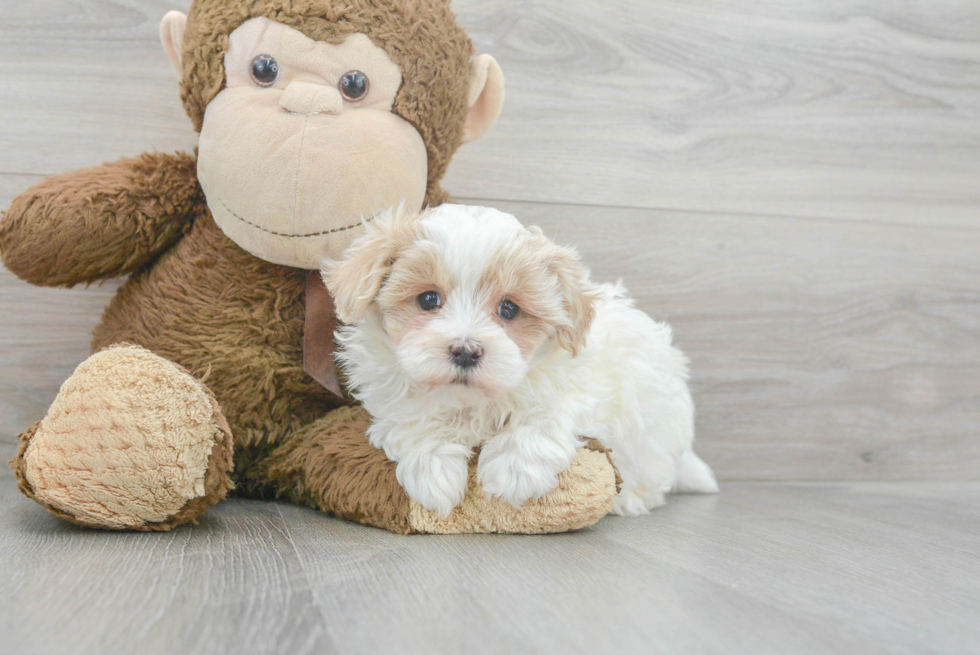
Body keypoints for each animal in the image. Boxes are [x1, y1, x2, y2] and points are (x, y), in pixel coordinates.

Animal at [326, 204, 716, 516]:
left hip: (652, 432)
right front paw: (432, 474)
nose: (466, 350)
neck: (472, 404)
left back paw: (629, 498)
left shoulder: (581, 385)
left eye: (509, 309)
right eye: (427, 299)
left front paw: (512, 471)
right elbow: (414, 419)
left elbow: (544, 415)